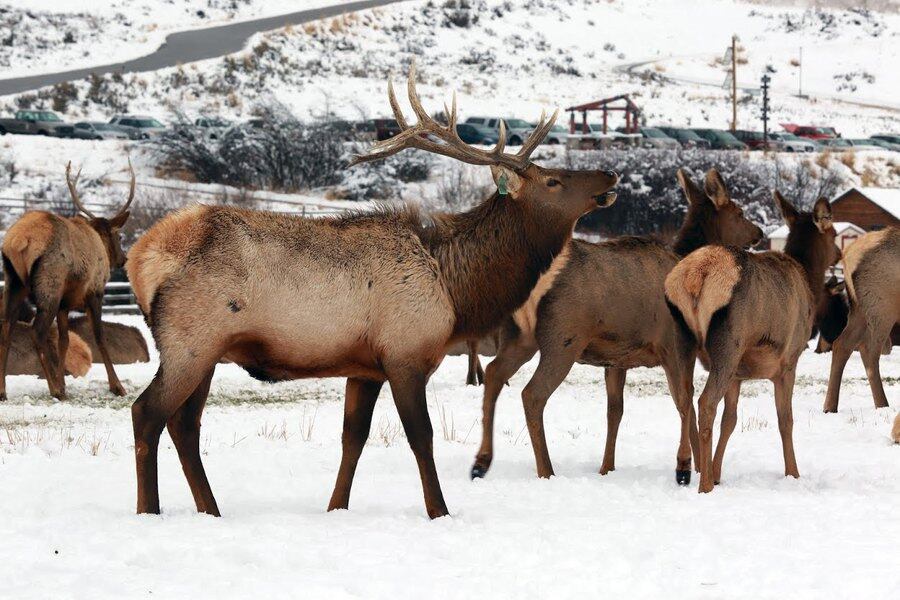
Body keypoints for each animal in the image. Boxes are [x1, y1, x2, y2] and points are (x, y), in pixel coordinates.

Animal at [0, 160, 135, 401]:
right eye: (119, 236)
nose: (124, 258)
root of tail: (18, 241)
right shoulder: (94, 292)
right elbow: (99, 337)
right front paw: (117, 386)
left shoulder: (65, 304)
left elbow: (64, 340)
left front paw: (64, 384)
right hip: (50, 285)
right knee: (37, 331)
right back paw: (53, 389)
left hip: (13, 281)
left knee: (6, 326)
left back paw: (3, 391)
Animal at [124, 66, 619, 519]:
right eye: (553, 181)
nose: (611, 175)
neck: (456, 289)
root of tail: (140, 256)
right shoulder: (404, 353)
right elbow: (421, 437)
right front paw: (439, 510)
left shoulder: (364, 367)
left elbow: (353, 440)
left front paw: (335, 507)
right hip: (190, 342)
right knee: (147, 413)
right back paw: (150, 510)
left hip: (207, 352)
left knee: (185, 425)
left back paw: (211, 509)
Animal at [470, 168, 763, 484]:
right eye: (739, 212)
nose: (759, 233)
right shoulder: (672, 343)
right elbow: (684, 401)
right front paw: (688, 467)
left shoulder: (616, 358)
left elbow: (615, 410)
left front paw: (606, 467)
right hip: (563, 337)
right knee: (532, 394)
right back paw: (546, 470)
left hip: (519, 336)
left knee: (494, 373)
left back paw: (481, 462)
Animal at [665, 192, 841, 493]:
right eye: (834, 234)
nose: (840, 254)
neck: (808, 281)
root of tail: (695, 277)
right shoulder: (788, 361)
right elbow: (785, 419)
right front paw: (793, 473)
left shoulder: (738, 374)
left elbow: (731, 420)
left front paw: (718, 472)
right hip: (729, 342)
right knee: (705, 403)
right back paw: (704, 486)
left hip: (682, 338)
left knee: (684, 398)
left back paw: (686, 470)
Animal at [821, 227, 898, 413]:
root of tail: (848, 254)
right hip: (882, 305)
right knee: (869, 350)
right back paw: (882, 405)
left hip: (859, 309)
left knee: (842, 344)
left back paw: (829, 406)